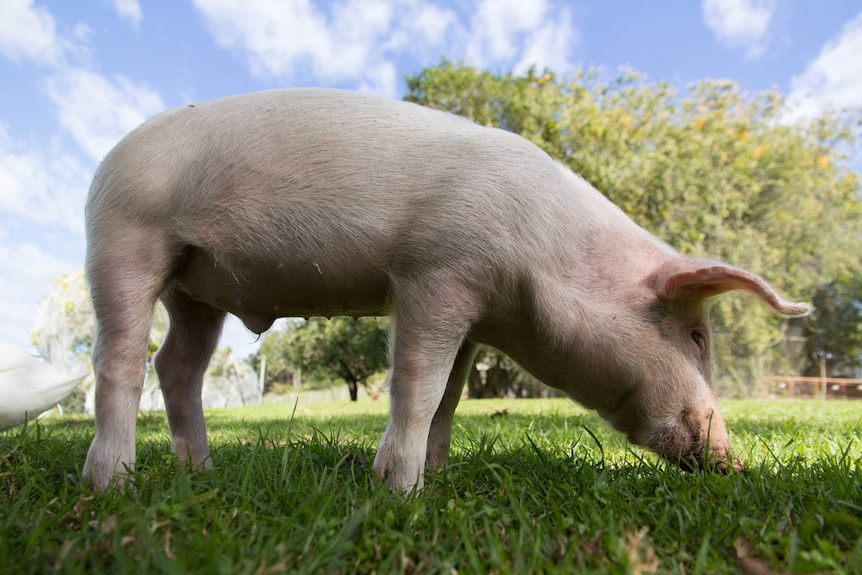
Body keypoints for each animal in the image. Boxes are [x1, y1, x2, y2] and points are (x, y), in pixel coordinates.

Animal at [79, 89, 808, 490]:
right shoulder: (436, 274)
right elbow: (417, 385)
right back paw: (112, 483)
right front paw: (397, 489)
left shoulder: (474, 316)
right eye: (697, 336)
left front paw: (439, 479)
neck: (544, 256)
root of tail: (108, 159)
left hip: (195, 288)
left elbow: (451, 398)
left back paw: (200, 473)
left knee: (177, 364)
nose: (735, 464)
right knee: (118, 362)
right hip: (125, 235)